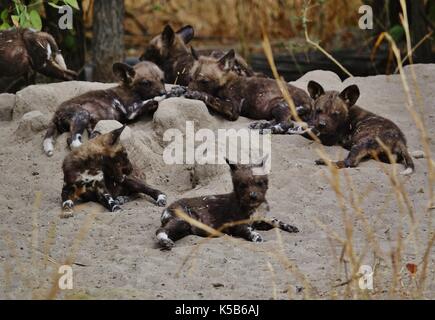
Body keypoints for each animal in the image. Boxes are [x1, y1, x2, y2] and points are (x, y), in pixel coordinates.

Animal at [42, 61, 182, 156]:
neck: (131, 90)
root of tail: (55, 114)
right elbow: (155, 99)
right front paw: (173, 93)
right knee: (73, 141)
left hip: (90, 121)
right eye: (146, 83)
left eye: (162, 80)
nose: (162, 91)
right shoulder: (132, 110)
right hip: (82, 114)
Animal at [157, 159, 300, 251]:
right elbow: (252, 232)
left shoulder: (260, 220)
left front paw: (290, 226)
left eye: (259, 183)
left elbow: (275, 220)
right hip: (182, 221)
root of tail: (166, 209)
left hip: (185, 228)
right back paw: (165, 242)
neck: (252, 207)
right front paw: (258, 238)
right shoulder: (240, 226)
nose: (253, 196)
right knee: (160, 231)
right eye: (243, 185)